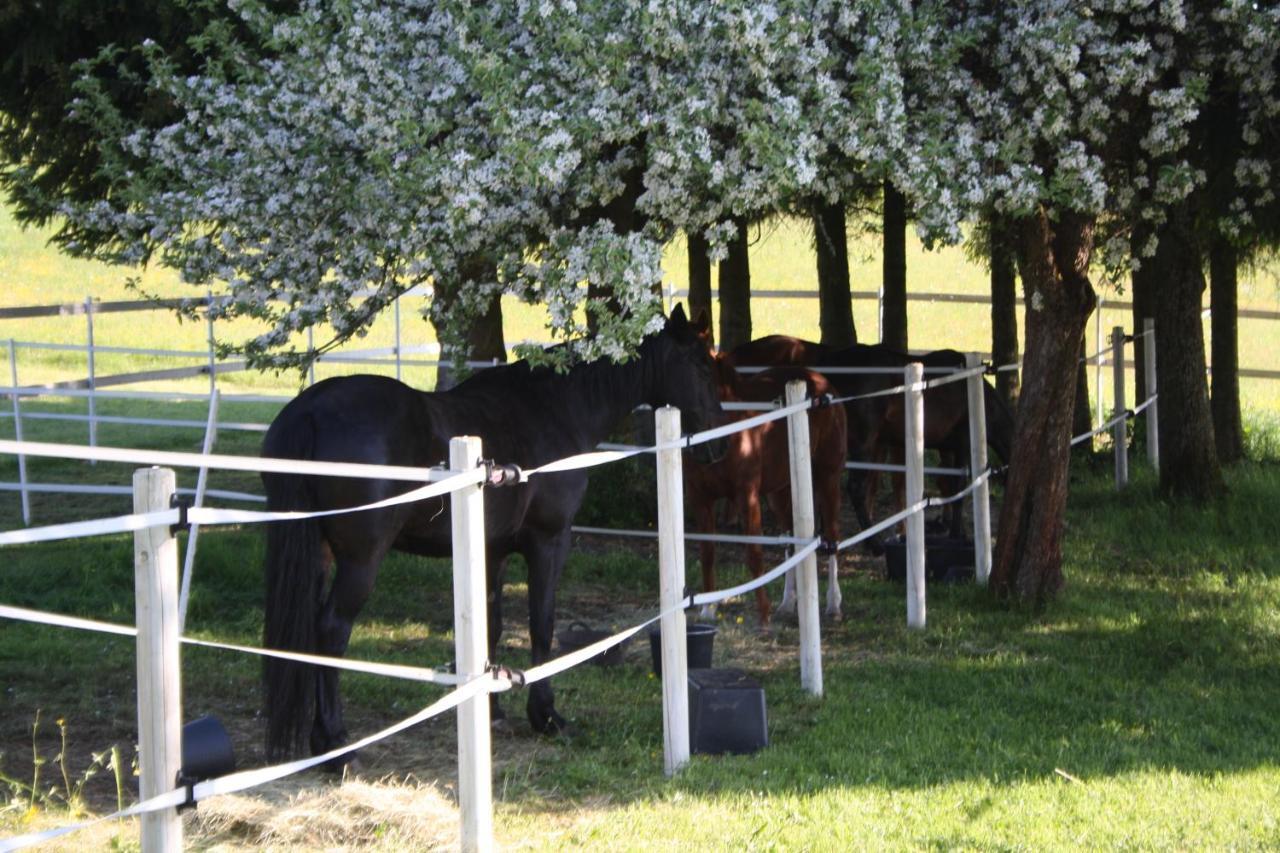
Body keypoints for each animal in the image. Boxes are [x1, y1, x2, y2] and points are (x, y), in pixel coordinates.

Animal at [258, 306, 721, 758]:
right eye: (701, 364)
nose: (716, 446)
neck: (555, 408)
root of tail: (310, 411)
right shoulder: (549, 542)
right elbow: (541, 625)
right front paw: (546, 715)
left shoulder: (491, 550)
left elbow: (492, 627)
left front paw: (493, 711)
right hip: (361, 561)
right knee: (332, 630)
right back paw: (336, 743)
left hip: (318, 554)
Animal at [686, 327, 844, 622]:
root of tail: (822, 384)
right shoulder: (700, 498)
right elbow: (708, 553)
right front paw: (707, 610)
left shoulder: (746, 496)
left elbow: (754, 552)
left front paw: (763, 614)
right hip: (780, 492)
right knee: (791, 539)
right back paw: (788, 602)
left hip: (828, 477)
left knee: (831, 536)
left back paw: (833, 604)